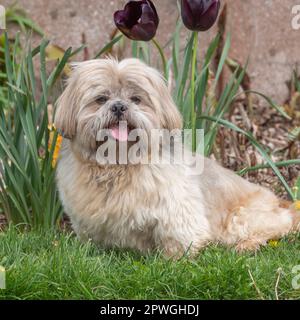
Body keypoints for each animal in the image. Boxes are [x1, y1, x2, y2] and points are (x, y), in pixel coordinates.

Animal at [54, 58, 300, 258]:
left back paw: (246, 245)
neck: (119, 164)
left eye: (136, 99)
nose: (119, 106)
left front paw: (173, 261)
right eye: (101, 98)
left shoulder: (178, 214)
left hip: (241, 218)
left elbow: (177, 241)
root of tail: (280, 203)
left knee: (276, 227)